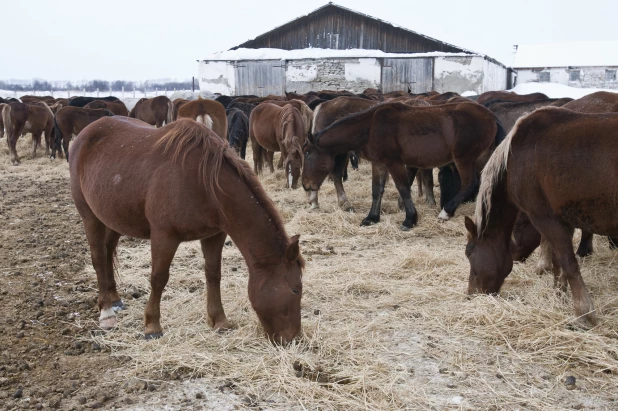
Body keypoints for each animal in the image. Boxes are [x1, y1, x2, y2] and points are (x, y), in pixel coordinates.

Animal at [70, 118, 304, 344]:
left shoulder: (214, 235)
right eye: (295, 289)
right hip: (90, 217)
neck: (205, 184)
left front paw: (219, 320)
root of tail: (85, 133)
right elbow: (158, 278)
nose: (293, 338)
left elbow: (213, 274)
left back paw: (115, 298)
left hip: (115, 217)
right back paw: (107, 312)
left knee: (109, 251)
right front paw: (152, 326)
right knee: (99, 257)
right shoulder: (164, 236)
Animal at [304, 102, 500, 230]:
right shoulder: (379, 163)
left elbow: (404, 188)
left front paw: (409, 219)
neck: (371, 127)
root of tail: (491, 116)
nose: (305, 185)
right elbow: (377, 190)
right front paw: (372, 218)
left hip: (464, 160)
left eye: (307, 153)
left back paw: (446, 212)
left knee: (470, 185)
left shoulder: (394, 163)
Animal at [462, 106, 616, 328]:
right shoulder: (563, 221)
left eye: (469, 253)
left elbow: (569, 263)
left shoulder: (546, 219)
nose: (471, 295)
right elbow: (559, 263)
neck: (513, 158)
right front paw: (559, 294)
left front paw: (583, 313)